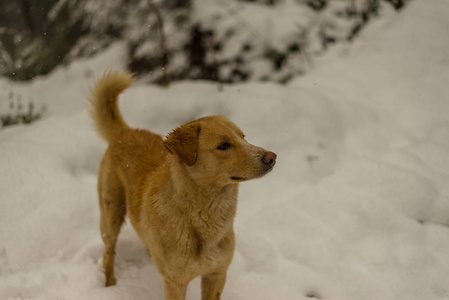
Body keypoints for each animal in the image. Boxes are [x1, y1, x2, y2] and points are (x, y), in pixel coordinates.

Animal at [88, 71, 276, 298]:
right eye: (223, 145)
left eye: (243, 137)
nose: (271, 157)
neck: (204, 212)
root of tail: (124, 133)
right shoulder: (175, 283)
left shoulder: (217, 274)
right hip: (110, 216)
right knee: (109, 253)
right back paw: (109, 285)